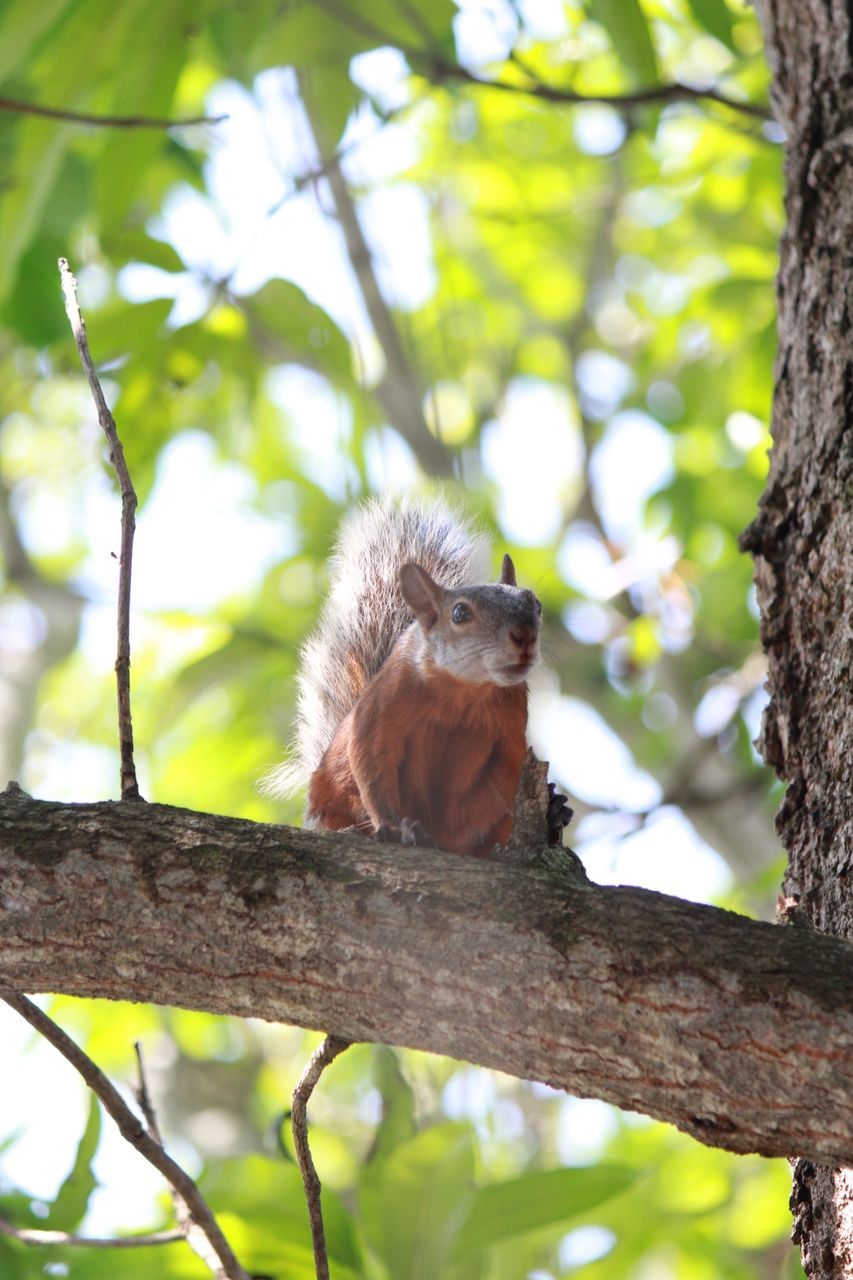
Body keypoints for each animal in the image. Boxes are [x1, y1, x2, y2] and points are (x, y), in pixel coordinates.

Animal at [266, 499, 568, 860]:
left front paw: (548, 807)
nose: (525, 636)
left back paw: (553, 814)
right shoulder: (382, 706)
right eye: (460, 613)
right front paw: (395, 827)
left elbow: (510, 773)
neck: (464, 692)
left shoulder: (512, 722)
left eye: (536, 604)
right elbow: (371, 765)